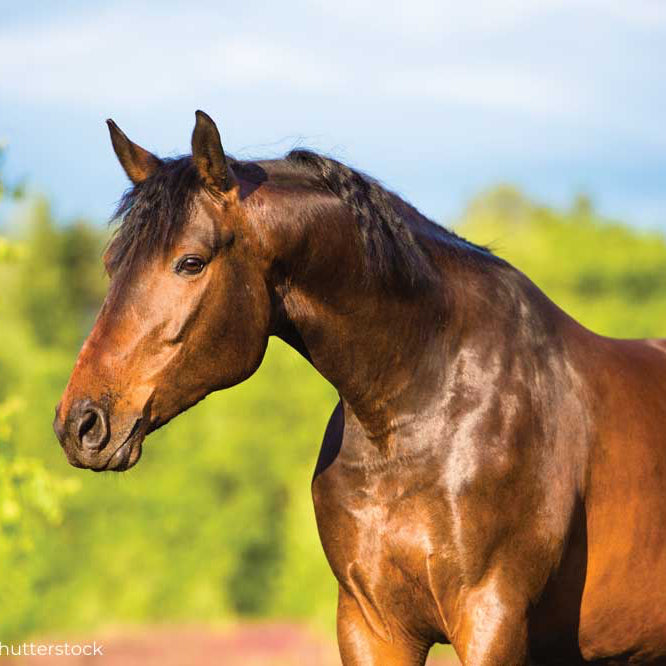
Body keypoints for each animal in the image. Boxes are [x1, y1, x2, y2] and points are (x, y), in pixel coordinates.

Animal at [53, 111, 666, 660]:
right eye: (111, 263)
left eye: (190, 262)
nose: (80, 424)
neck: (422, 408)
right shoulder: (370, 625)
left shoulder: (491, 620)